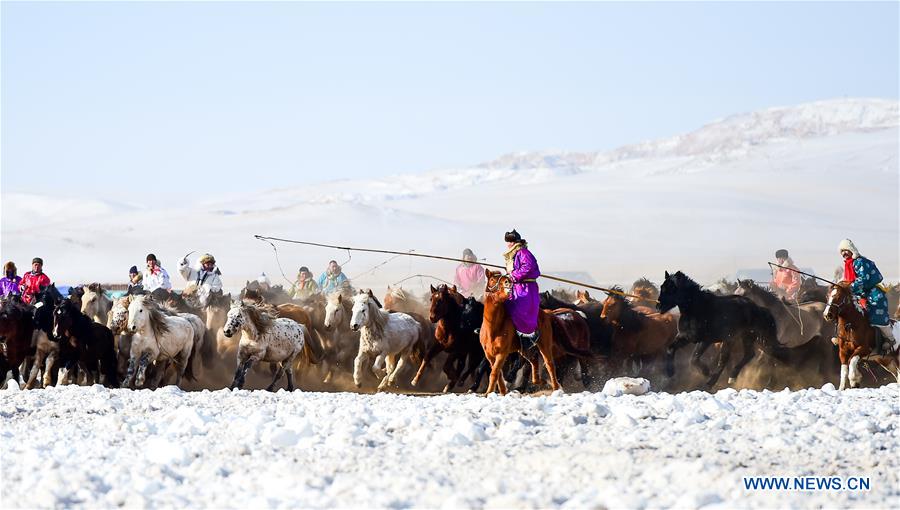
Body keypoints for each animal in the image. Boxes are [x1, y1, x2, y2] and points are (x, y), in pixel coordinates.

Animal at [656, 272, 792, 388]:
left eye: (671, 288)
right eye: (662, 287)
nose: (658, 306)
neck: (696, 309)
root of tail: (757, 308)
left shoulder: (705, 340)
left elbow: (694, 359)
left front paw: (706, 372)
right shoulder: (685, 337)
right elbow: (670, 349)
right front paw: (670, 372)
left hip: (735, 338)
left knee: (725, 359)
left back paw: (712, 382)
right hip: (742, 338)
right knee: (748, 355)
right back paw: (730, 378)